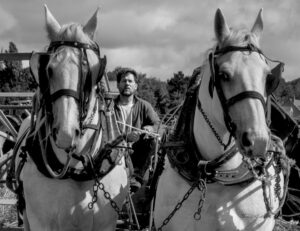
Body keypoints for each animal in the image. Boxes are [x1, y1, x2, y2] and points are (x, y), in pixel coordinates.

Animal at [8, 5, 128, 231]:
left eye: (94, 70)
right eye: (48, 69)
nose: (65, 133)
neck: (77, 168)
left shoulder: (106, 223)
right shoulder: (40, 223)